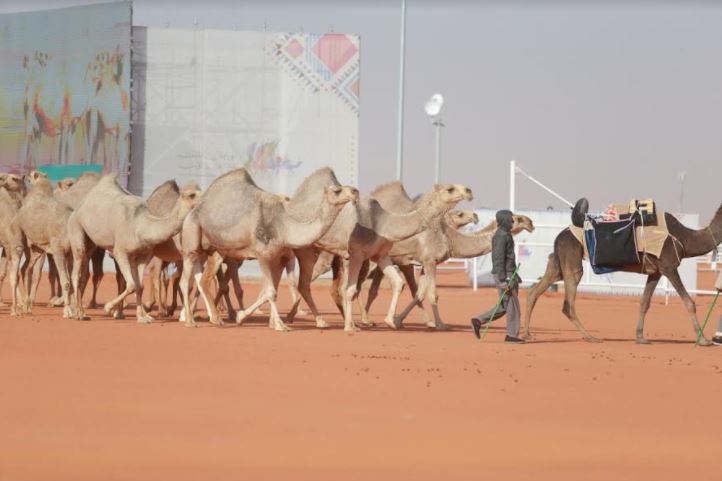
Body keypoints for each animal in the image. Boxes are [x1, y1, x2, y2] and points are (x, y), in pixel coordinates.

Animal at [68, 173, 200, 322]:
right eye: (192, 195)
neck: (140, 226)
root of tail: (81, 205)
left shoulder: (142, 255)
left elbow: (139, 286)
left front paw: (142, 318)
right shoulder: (120, 252)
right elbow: (131, 285)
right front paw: (108, 308)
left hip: (91, 242)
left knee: (84, 269)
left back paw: (82, 312)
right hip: (75, 226)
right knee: (76, 269)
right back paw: (79, 313)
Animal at [178, 167, 358, 328]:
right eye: (337, 190)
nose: (355, 190)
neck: (285, 226)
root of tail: (196, 209)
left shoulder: (278, 257)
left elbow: (271, 289)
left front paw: (255, 319)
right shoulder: (263, 254)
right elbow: (271, 291)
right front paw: (279, 325)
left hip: (215, 250)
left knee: (202, 279)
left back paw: (214, 318)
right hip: (191, 235)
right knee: (185, 280)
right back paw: (190, 321)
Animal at [286, 178, 472, 332]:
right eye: (450, 189)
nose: (469, 191)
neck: (383, 223)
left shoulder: (380, 255)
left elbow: (398, 283)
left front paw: (391, 321)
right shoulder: (357, 253)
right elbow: (350, 289)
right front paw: (349, 327)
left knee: (304, 284)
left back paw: (308, 320)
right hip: (309, 249)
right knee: (306, 281)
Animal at [524, 204, 720, 344]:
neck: (685, 238)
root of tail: (559, 236)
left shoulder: (655, 271)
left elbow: (644, 302)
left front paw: (640, 337)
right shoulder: (668, 265)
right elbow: (689, 302)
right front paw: (703, 340)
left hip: (558, 264)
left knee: (535, 292)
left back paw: (526, 334)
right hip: (571, 257)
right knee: (568, 301)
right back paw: (591, 337)